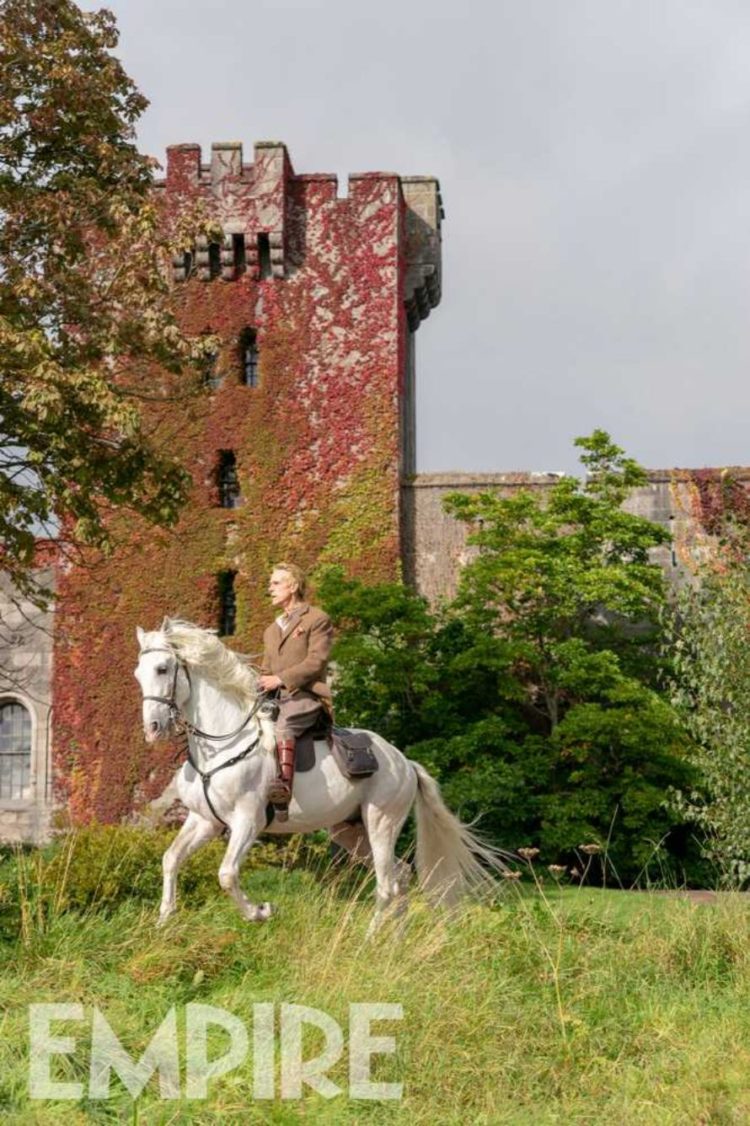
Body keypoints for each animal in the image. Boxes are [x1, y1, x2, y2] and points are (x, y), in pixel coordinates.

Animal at [134, 621, 504, 927]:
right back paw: (394, 940)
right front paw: (164, 921)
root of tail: (405, 763)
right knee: (399, 875)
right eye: (138, 673)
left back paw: (369, 940)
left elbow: (226, 874)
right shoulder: (205, 821)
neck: (222, 743)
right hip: (351, 832)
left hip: (381, 822)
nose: (152, 728)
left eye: (163, 668)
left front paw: (260, 912)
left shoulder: (247, 821)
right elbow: (170, 859)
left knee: (386, 885)